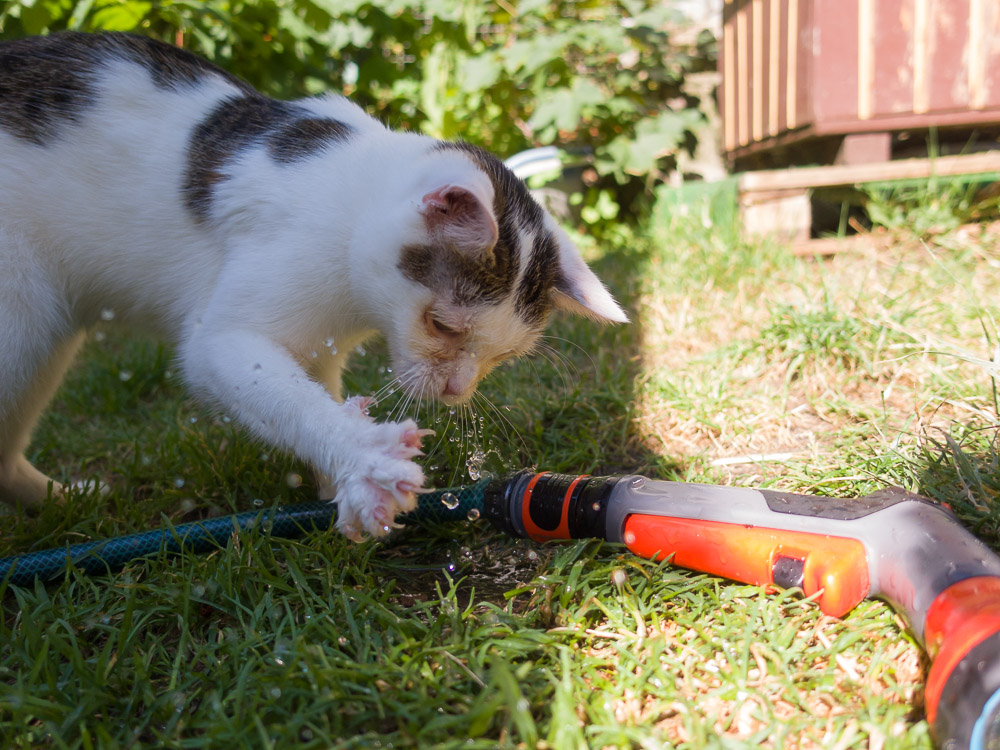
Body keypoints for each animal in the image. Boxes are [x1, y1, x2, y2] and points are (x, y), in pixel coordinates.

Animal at [0, 30, 624, 540]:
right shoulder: (223, 340)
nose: (456, 390)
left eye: (501, 358)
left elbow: (309, 390)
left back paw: (60, 503)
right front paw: (366, 461)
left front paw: (336, 485)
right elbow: (284, 397)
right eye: (443, 325)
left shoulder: (318, 344)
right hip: (23, 315)